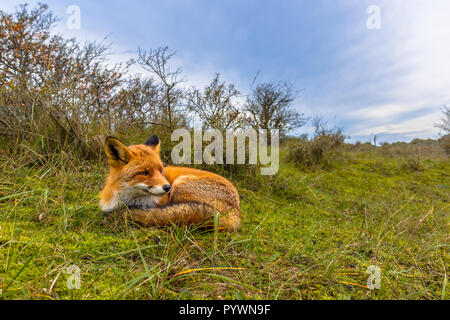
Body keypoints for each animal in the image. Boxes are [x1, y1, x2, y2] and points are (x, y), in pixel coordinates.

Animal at [98, 134, 239, 231]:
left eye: (161, 170)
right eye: (144, 173)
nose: (167, 187)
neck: (128, 200)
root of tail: (235, 213)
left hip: (179, 184)